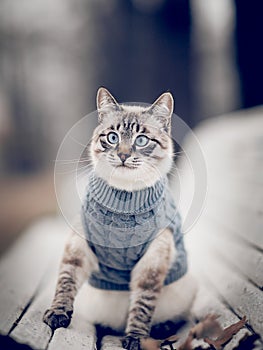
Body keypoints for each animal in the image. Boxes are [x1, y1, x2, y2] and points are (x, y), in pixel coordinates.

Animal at [43, 87, 197, 350]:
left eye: (141, 140)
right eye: (113, 138)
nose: (123, 155)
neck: (124, 199)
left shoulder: (151, 264)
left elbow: (142, 305)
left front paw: (135, 339)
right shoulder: (78, 247)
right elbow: (65, 282)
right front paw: (57, 315)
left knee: (177, 317)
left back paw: (160, 329)